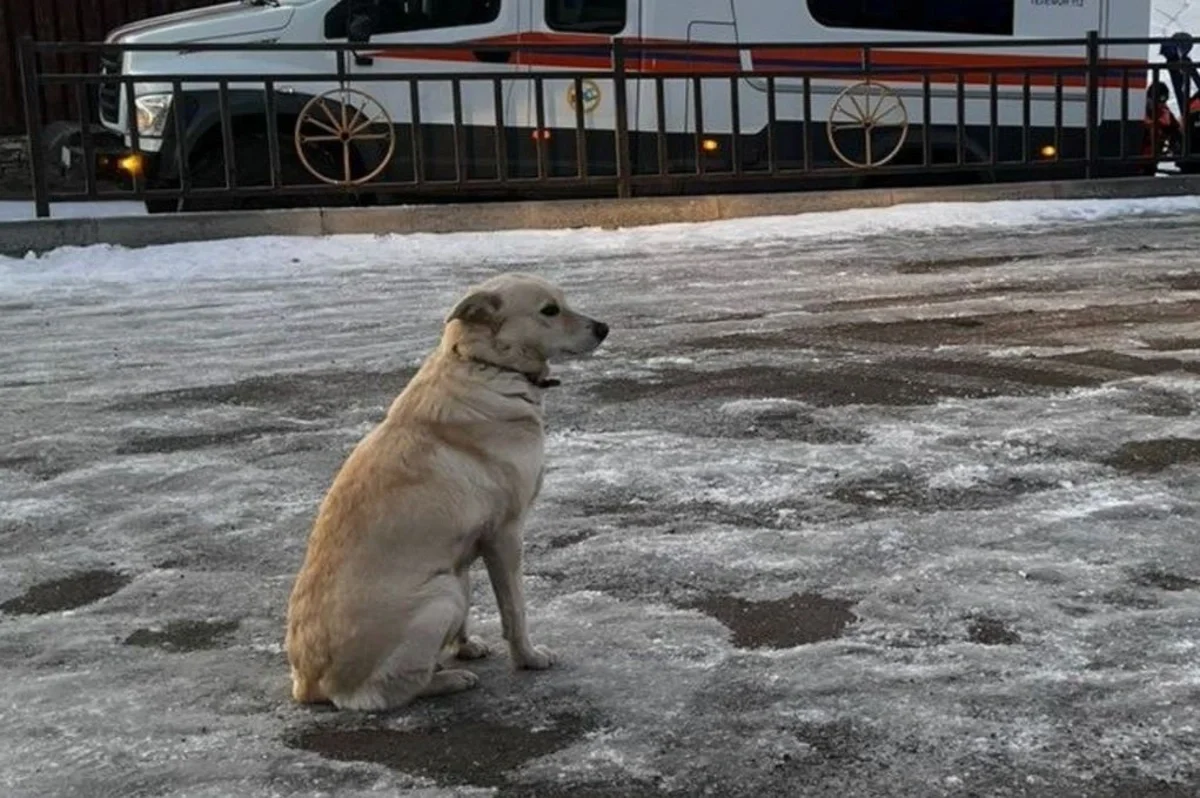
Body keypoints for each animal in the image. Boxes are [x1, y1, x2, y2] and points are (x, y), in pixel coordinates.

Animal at [283, 268, 609, 710]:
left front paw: (465, 645)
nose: (604, 328)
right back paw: (449, 680)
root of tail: (309, 684)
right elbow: (515, 610)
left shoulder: (465, 549)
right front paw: (527, 657)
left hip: (450, 582)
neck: (486, 366)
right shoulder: (506, 534)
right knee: (385, 693)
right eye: (549, 310)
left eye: (564, 301)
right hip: (442, 594)